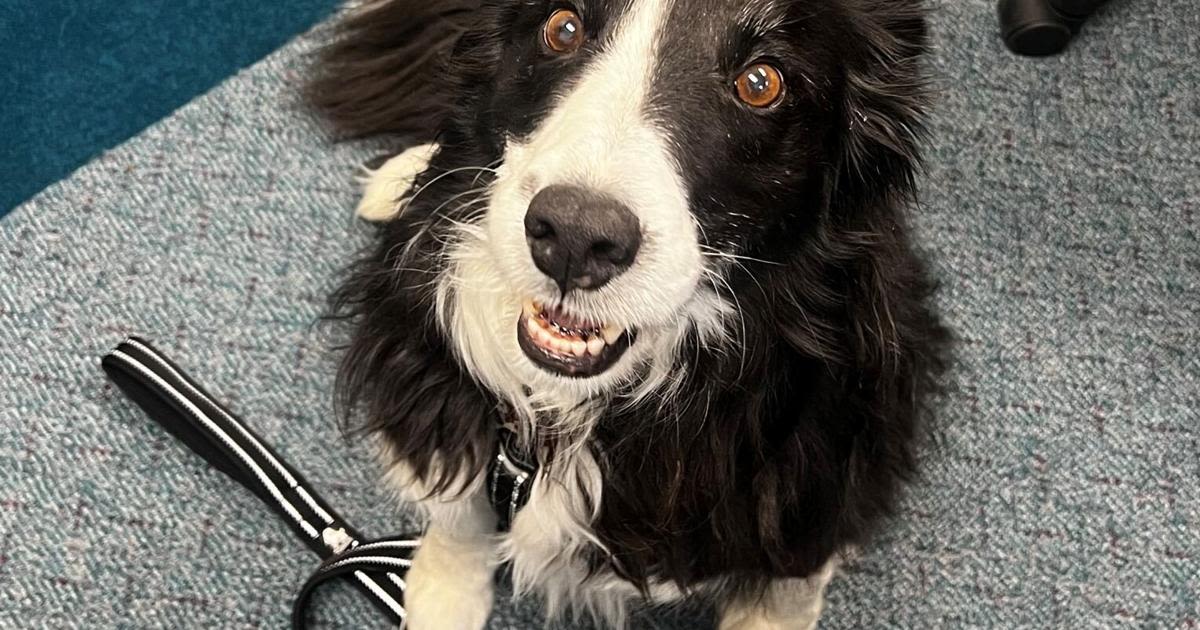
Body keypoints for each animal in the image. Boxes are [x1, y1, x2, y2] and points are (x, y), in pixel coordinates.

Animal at [307, 1, 945, 624]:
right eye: (562, 28)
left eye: (761, 83)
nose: (573, 237)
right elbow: (458, 515)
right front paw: (440, 591)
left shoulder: (817, 484)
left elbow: (783, 596)